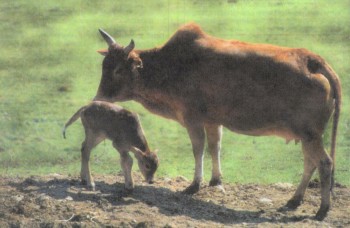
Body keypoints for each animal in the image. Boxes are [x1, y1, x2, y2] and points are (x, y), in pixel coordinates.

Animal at [93, 22, 342, 219]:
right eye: (104, 67)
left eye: (118, 69)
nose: (97, 98)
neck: (172, 64)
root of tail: (313, 60)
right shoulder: (213, 120)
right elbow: (215, 147)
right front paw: (215, 180)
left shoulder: (192, 118)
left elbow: (198, 149)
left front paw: (194, 185)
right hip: (308, 136)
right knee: (310, 162)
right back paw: (294, 200)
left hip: (311, 135)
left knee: (324, 163)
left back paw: (322, 210)